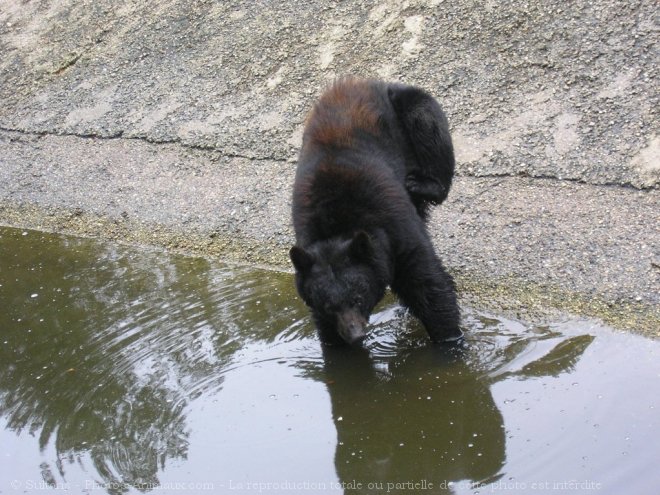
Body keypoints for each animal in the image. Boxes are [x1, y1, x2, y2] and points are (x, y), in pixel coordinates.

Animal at [292, 79, 462, 346]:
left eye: (358, 297)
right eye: (329, 306)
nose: (354, 335)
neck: (337, 222)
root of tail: (368, 82)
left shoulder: (393, 224)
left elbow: (426, 282)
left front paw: (451, 341)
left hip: (412, 108)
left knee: (429, 128)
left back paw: (424, 183)